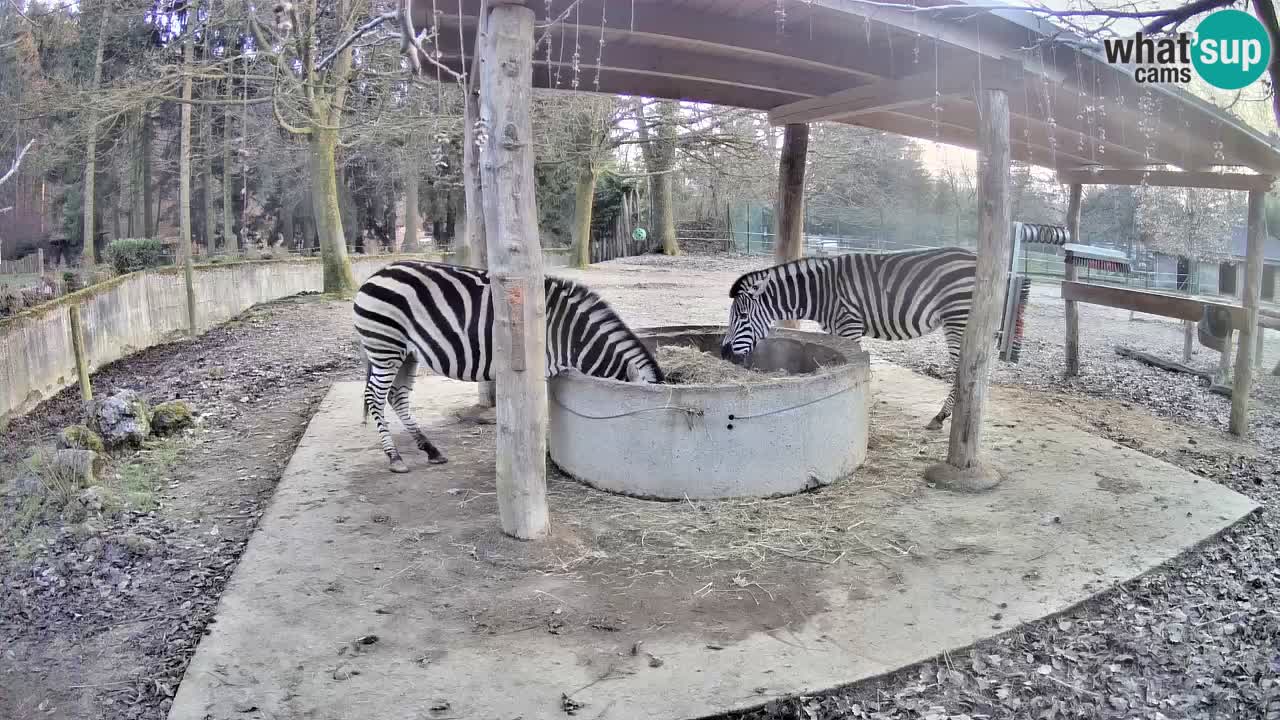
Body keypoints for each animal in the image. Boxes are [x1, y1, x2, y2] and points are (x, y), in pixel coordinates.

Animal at [355, 257, 665, 471]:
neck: (571, 336)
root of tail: (377, 273)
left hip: (407, 353)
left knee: (397, 397)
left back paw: (430, 450)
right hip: (385, 345)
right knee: (375, 397)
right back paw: (394, 458)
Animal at [721, 243, 977, 427]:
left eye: (742, 316)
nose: (723, 353)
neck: (820, 293)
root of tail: (975, 258)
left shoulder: (849, 324)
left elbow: (853, 366)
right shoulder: (837, 329)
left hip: (957, 318)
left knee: (961, 369)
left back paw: (942, 415)